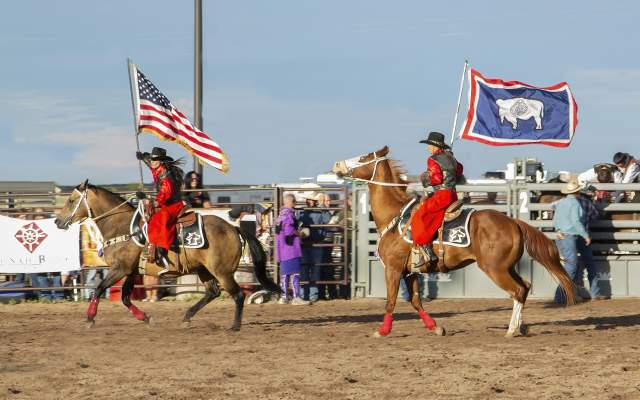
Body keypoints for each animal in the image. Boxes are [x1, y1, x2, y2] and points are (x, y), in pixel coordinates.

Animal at [52, 182, 278, 332]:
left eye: (71, 200)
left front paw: (90, 319)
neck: (121, 226)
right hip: (204, 270)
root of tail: (233, 228)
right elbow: (125, 297)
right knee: (212, 292)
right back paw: (187, 316)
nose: (57, 221)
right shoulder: (132, 271)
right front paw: (146, 318)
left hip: (222, 271)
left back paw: (234, 326)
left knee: (238, 294)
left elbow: (98, 289)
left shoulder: (120, 269)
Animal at [332, 147, 576, 338]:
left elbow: (391, 301)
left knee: (517, 291)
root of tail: (513, 221)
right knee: (524, 287)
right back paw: (520, 326)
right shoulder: (410, 272)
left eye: (363, 158)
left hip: (495, 269)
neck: (396, 215)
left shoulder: (393, 269)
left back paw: (510, 330)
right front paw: (436, 328)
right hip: (507, 267)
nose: (337, 164)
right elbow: (416, 301)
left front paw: (382, 331)